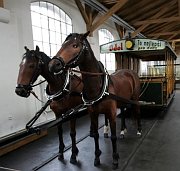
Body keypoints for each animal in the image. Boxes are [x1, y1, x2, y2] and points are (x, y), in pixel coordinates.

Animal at [48, 32, 141, 170]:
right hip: (122, 101)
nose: (53, 65)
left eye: (75, 45)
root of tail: (129, 72)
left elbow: (113, 137)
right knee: (124, 112)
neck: (98, 85)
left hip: (135, 98)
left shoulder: (111, 113)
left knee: (137, 110)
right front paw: (97, 158)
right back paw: (123, 130)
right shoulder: (93, 113)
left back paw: (139, 130)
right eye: (62, 44)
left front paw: (115, 159)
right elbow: (96, 135)